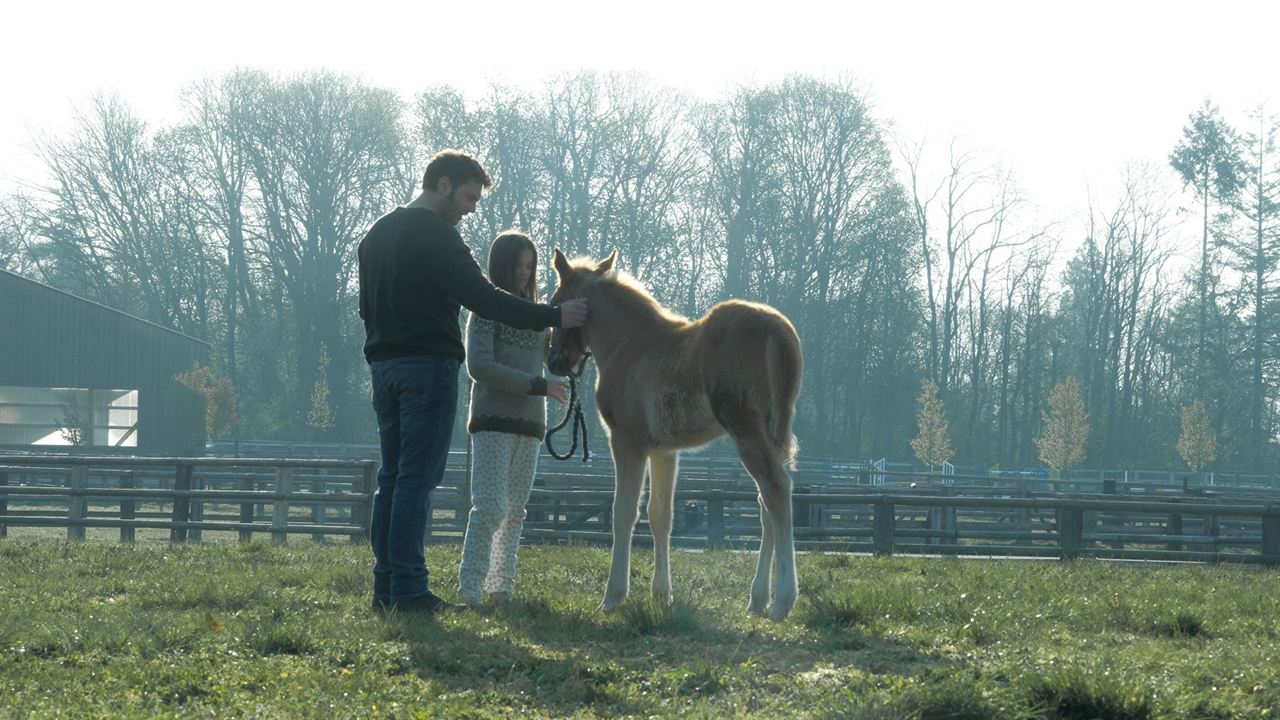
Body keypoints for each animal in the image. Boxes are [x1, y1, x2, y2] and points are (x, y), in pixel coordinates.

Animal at [547, 249, 803, 620]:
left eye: (556, 303)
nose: (554, 362)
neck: (628, 345)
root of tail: (777, 330)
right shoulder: (664, 450)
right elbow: (660, 516)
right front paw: (662, 595)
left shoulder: (627, 440)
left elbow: (624, 512)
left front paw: (612, 597)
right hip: (770, 432)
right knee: (764, 501)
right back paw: (758, 599)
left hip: (746, 429)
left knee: (776, 489)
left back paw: (783, 600)